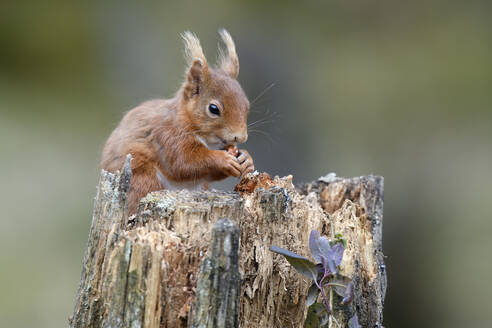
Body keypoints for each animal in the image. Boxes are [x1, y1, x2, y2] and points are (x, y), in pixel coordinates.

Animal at [100, 29, 254, 214]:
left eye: (247, 105)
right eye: (213, 109)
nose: (241, 137)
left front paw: (246, 159)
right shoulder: (167, 136)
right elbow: (184, 163)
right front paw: (224, 160)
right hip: (143, 180)